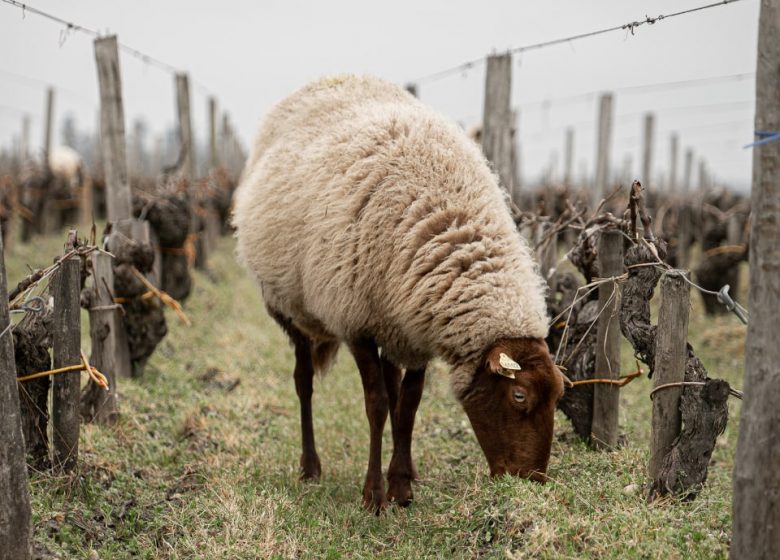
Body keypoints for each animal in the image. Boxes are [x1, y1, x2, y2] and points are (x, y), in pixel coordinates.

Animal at [232, 74, 568, 512]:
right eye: (519, 396)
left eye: (559, 395)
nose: (533, 480)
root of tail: (325, 80)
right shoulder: (355, 323)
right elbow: (376, 406)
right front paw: (374, 495)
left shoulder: (416, 325)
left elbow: (407, 406)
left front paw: (402, 487)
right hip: (290, 308)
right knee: (303, 381)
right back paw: (310, 467)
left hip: (389, 321)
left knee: (391, 388)